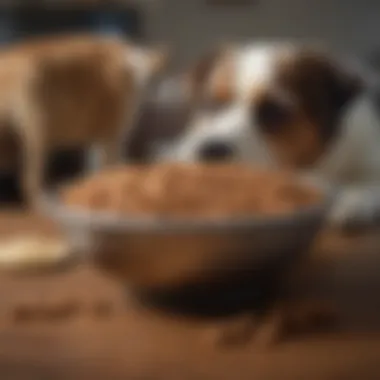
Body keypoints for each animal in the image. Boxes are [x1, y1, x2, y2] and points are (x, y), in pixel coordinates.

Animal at [0, 33, 168, 208]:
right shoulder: (111, 136)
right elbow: (112, 165)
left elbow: (95, 167)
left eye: (157, 79)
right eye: (146, 79)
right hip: (40, 128)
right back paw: (48, 202)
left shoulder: (97, 137)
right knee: (29, 181)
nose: (151, 89)